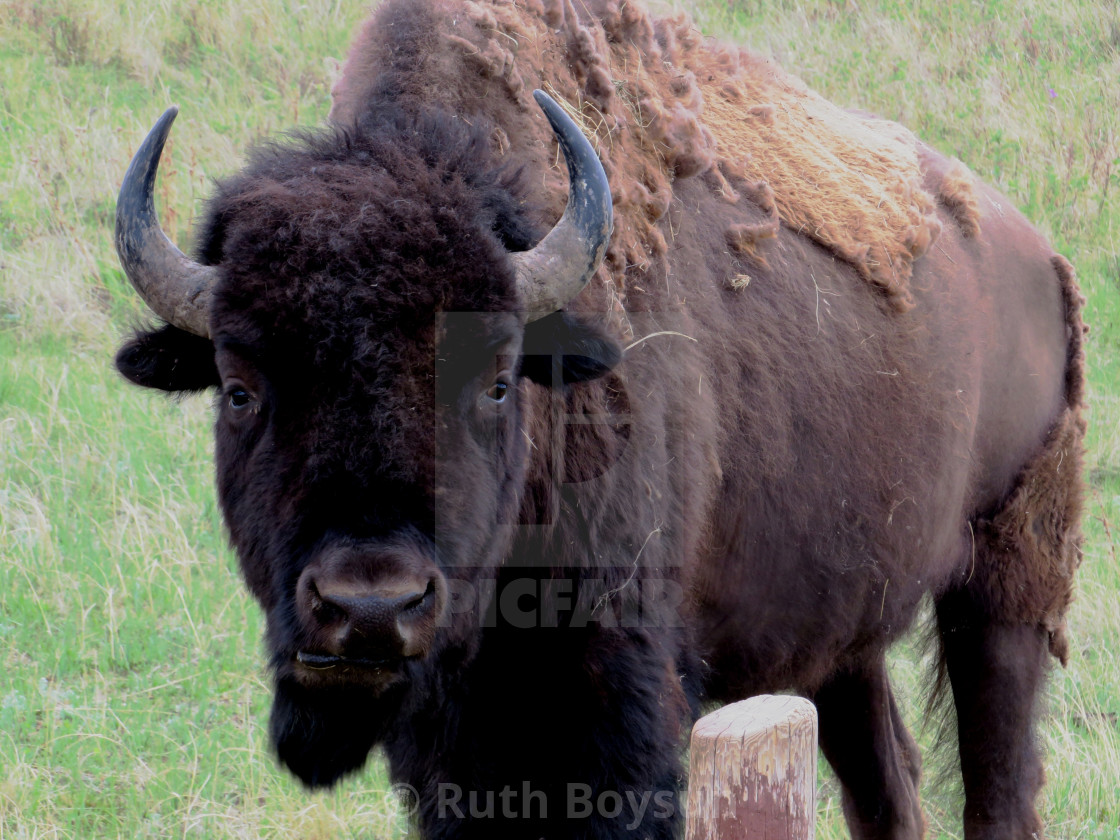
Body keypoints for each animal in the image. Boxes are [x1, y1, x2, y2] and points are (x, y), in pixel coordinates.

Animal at [111, 1, 1084, 840]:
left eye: (497, 381)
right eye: (239, 387)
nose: (370, 604)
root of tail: (1035, 255)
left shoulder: (626, 708)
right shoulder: (452, 745)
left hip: (1003, 591)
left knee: (998, 784)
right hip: (843, 634)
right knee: (886, 786)